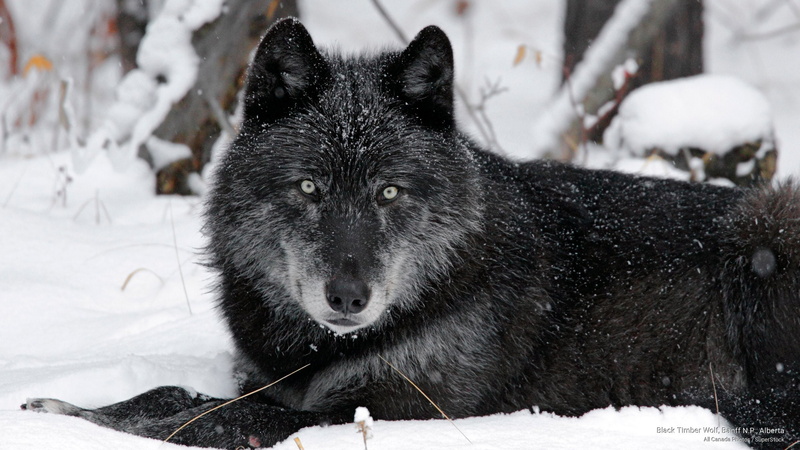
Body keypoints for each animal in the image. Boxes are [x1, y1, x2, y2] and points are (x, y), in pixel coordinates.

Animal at [23, 18, 800, 450]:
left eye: (388, 192)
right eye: (310, 188)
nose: (348, 298)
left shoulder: (392, 410)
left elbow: (203, 418)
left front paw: (76, 421)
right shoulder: (266, 379)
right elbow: (172, 396)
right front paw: (62, 407)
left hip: (769, 230)